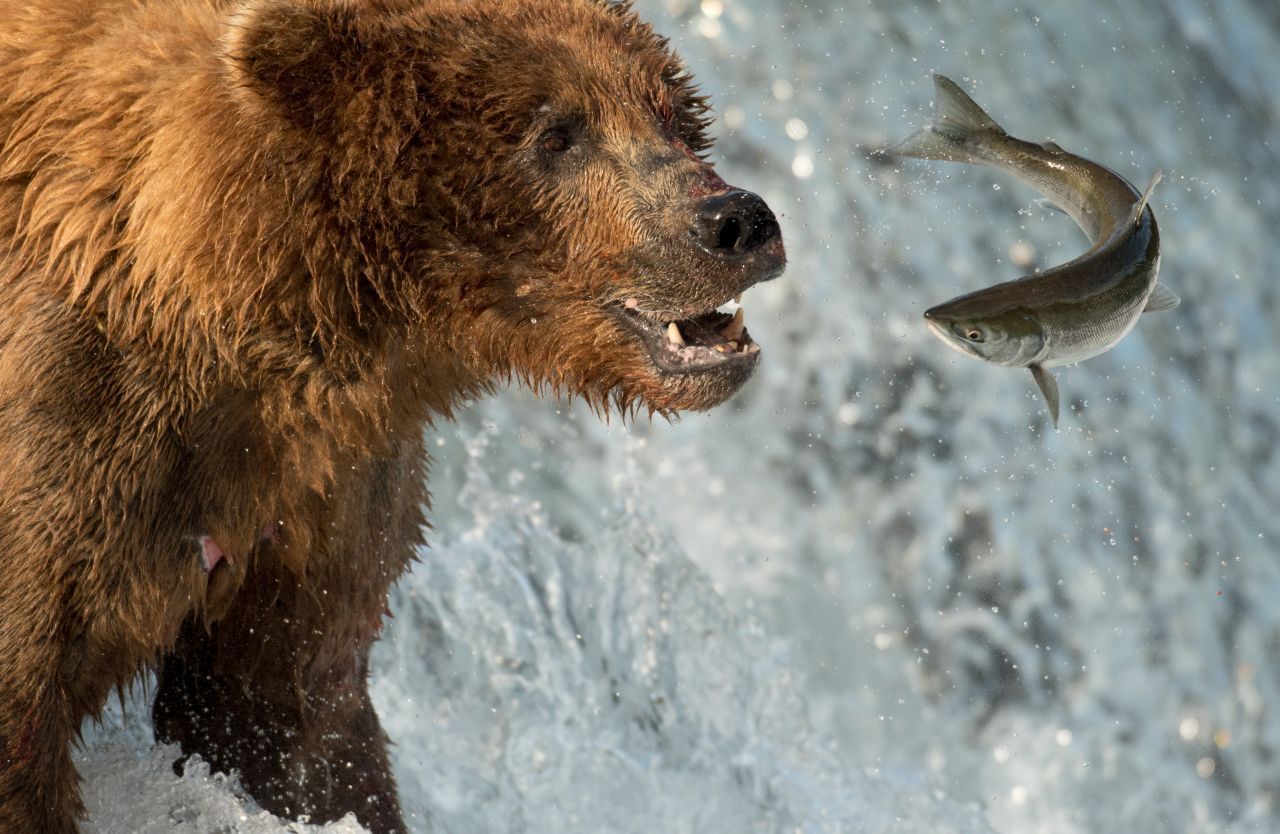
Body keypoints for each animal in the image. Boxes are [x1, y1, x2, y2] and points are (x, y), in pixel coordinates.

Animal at [0, 0, 778, 828]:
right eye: (556, 133)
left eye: (673, 114)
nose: (736, 219)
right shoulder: (83, 438)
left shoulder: (319, 494)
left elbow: (294, 723)